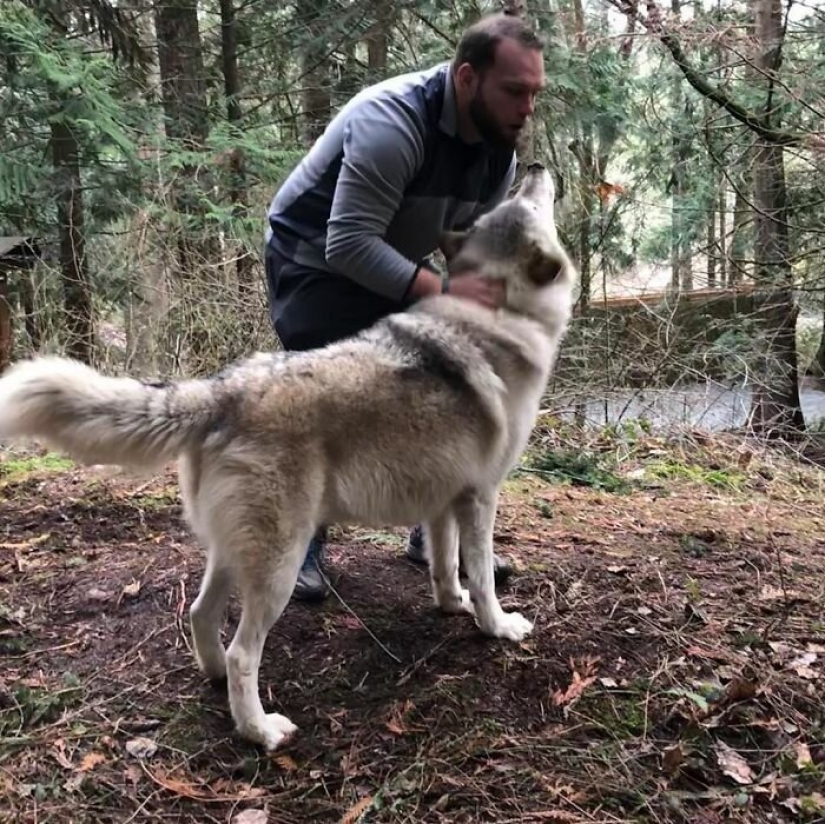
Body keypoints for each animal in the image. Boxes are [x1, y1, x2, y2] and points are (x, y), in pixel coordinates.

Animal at [0, 164, 577, 751]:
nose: (534, 168)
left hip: (235, 556)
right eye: (529, 203)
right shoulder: (480, 498)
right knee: (242, 653)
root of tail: (222, 391)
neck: (497, 314)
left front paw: (451, 604)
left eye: (511, 202)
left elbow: (443, 567)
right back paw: (260, 731)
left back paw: (214, 680)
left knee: (201, 616)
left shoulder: (442, 503)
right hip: (279, 566)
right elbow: (481, 575)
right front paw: (497, 626)